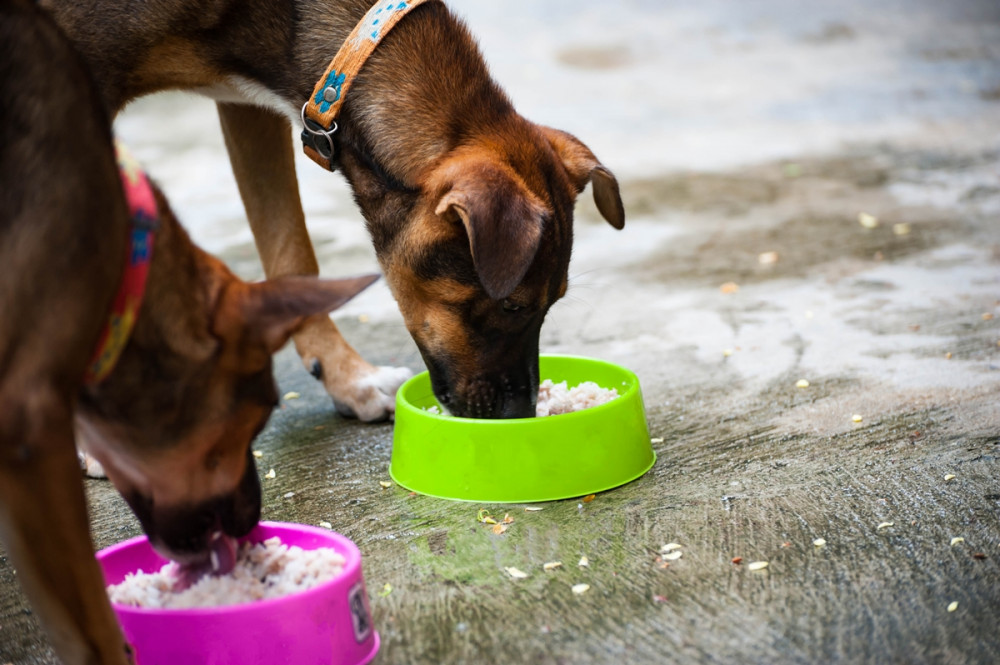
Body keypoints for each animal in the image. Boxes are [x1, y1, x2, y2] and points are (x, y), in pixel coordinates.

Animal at [43, 0, 628, 418]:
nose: (521, 413)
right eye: (511, 306)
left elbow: (292, 254)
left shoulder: (244, 105)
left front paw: (349, 380)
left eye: (553, 302)